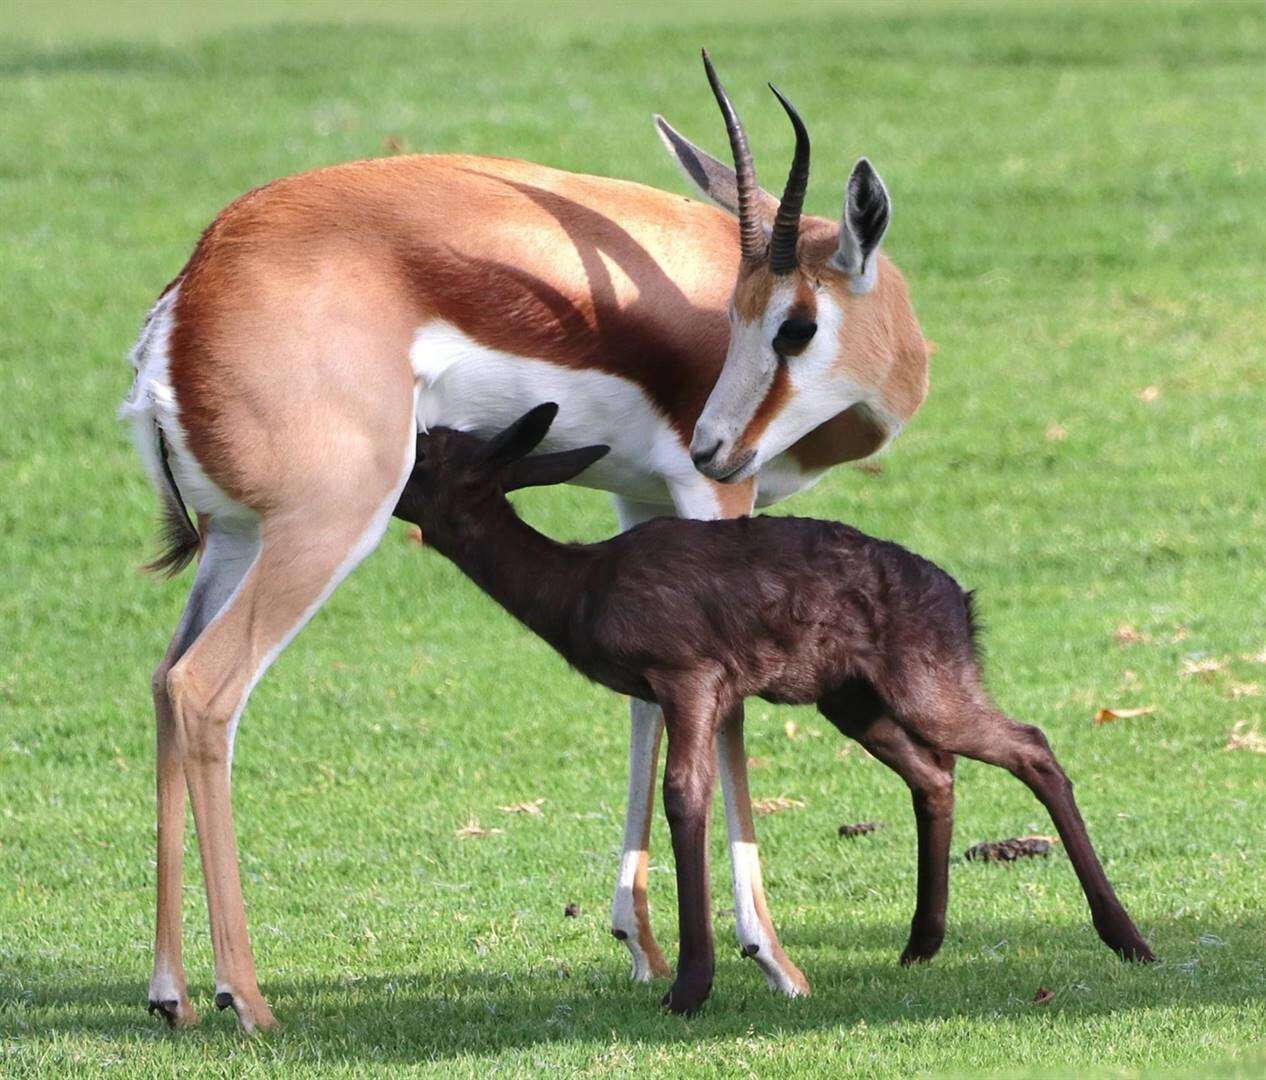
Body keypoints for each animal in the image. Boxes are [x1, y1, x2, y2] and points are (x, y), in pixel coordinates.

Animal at [394, 402, 1159, 1012]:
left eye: (424, 453)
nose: (383, 480)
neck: (577, 595)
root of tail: (965, 605)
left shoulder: (688, 668)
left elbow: (685, 794)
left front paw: (691, 986)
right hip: (851, 697)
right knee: (935, 772)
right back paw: (922, 941)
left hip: (925, 676)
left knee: (1029, 744)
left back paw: (1127, 937)